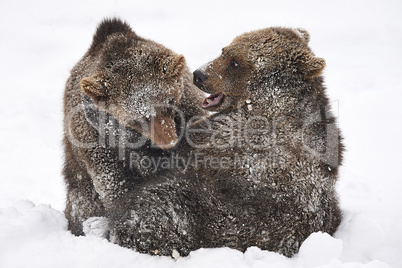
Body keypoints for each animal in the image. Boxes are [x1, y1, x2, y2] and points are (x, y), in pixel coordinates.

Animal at [63, 16, 209, 247]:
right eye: (138, 119)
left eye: (170, 103)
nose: (169, 142)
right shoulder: (96, 142)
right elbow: (115, 185)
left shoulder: (189, 107)